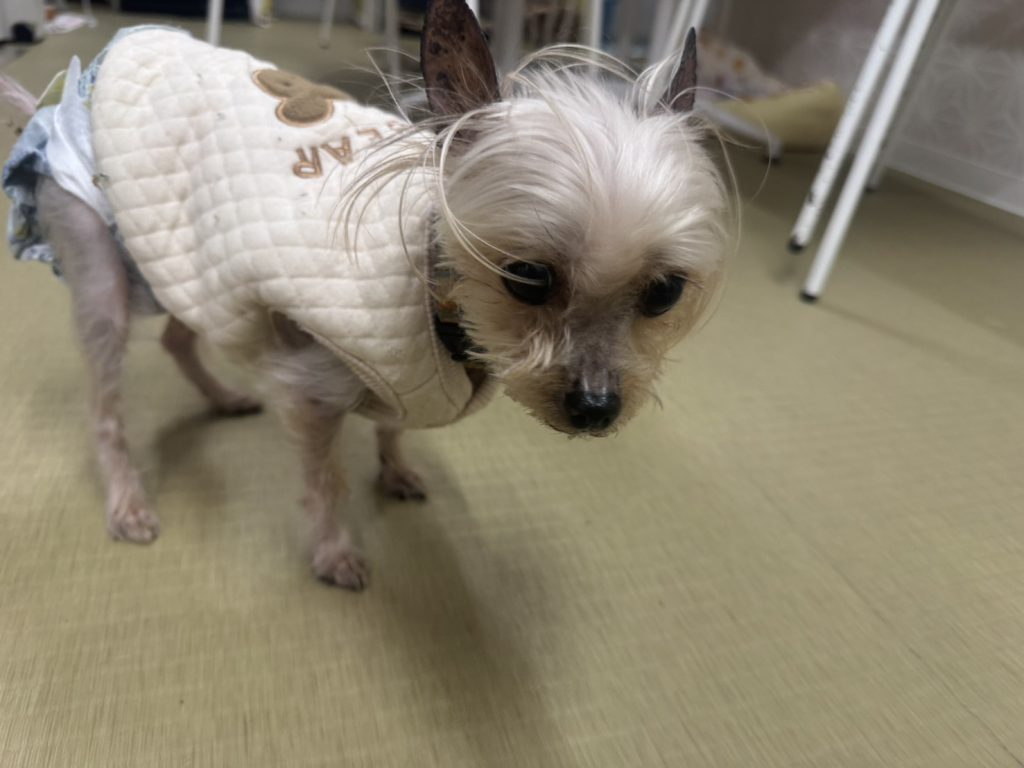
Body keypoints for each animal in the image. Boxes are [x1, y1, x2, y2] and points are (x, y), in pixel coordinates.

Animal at [1, 0, 728, 590]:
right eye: (526, 278)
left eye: (665, 292)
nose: (597, 409)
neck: (443, 315)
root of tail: (72, 86)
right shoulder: (314, 388)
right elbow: (326, 479)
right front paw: (333, 552)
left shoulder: (401, 371)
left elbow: (392, 424)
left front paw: (396, 467)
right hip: (98, 260)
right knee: (106, 406)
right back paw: (128, 502)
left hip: (185, 256)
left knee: (182, 335)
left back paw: (225, 397)